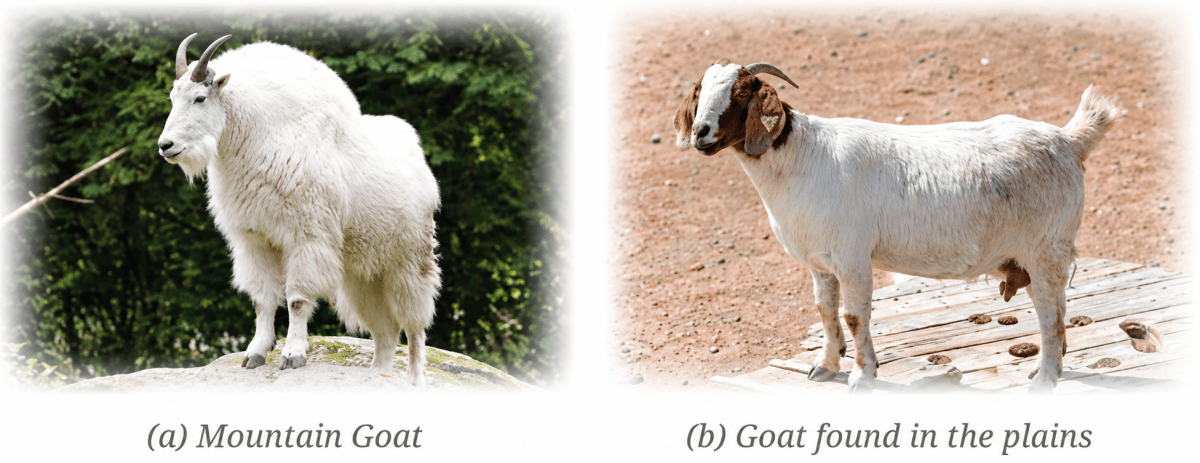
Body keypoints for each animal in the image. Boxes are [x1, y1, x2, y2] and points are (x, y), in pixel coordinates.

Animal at [158, 34, 441, 386]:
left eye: (199, 98)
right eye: (172, 98)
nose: (165, 146)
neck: (259, 134)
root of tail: (420, 160)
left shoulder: (306, 237)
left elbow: (295, 299)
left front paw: (293, 355)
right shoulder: (255, 240)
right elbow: (262, 299)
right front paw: (255, 353)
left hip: (410, 261)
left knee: (415, 326)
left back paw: (414, 380)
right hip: (363, 274)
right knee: (385, 331)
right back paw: (379, 374)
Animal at [673, 60, 1121, 393]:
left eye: (741, 93)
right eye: (698, 92)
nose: (700, 133)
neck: (801, 158)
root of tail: (1070, 140)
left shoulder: (852, 256)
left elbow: (855, 316)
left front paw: (862, 377)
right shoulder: (820, 261)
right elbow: (824, 309)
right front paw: (825, 366)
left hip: (1046, 248)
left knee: (1052, 318)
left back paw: (1043, 380)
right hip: (1038, 256)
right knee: (1058, 309)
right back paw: (1049, 369)